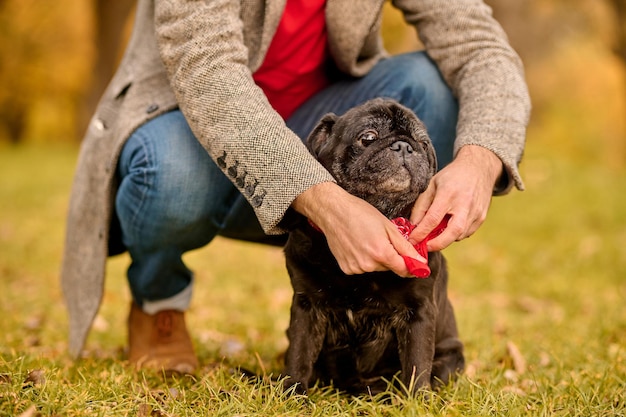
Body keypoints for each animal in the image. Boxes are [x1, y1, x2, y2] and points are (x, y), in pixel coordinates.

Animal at [282, 98, 464, 396]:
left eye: (423, 143)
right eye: (368, 137)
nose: (404, 145)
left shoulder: (418, 313)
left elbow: (417, 364)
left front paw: (416, 400)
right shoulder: (307, 308)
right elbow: (299, 355)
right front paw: (293, 395)